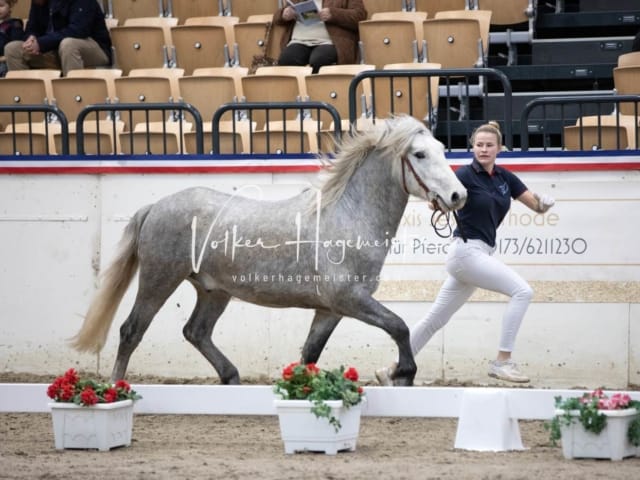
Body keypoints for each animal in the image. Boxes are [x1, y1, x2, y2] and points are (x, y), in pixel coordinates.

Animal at [72, 115, 468, 386]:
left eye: (442, 151)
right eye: (420, 154)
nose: (457, 196)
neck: (347, 216)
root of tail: (155, 206)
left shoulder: (330, 310)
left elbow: (310, 354)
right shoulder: (348, 299)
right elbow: (399, 326)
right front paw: (403, 373)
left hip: (213, 291)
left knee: (195, 332)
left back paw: (231, 376)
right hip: (159, 280)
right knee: (131, 331)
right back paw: (117, 388)